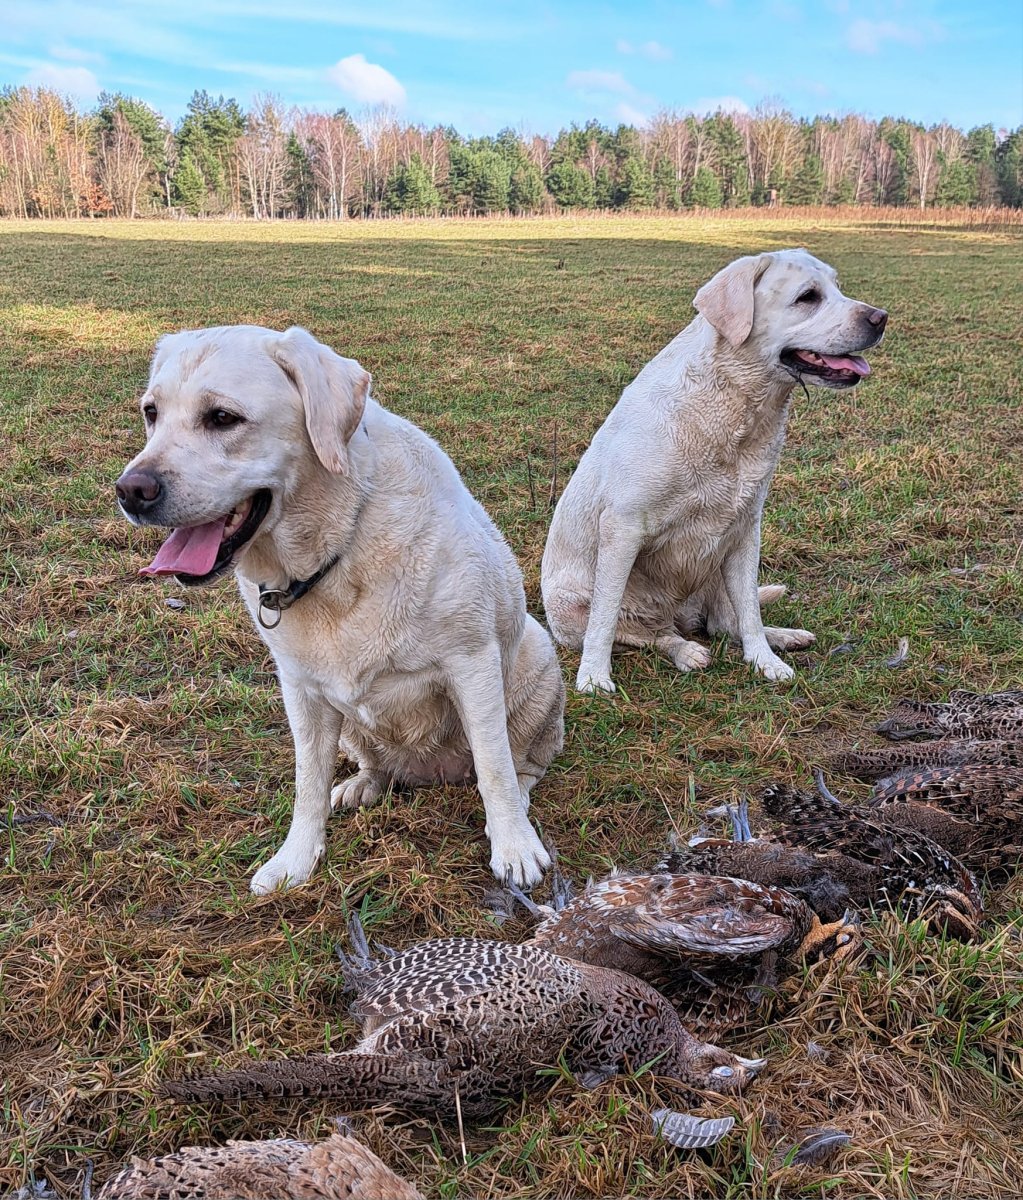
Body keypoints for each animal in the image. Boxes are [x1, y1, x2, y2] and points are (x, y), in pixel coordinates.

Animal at [116, 325, 564, 892]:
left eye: (221, 417)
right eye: (151, 412)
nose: (131, 491)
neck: (332, 552)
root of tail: (433, 774)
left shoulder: (473, 663)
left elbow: (495, 767)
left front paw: (514, 846)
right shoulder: (301, 689)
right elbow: (308, 782)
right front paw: (295, 859)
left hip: (536, 660)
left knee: (522, 764)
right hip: (352, 723)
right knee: (375, 765)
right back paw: (362, 785)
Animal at [541, 248, 887, 693]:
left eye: (837, 287)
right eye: (808, 297)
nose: (880, 318)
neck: (737, 409)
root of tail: (679, 615)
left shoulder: (745, 528)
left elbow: (750, 614)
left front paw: (765, 660)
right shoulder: (622, 528)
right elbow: (605, 618)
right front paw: (594, 676)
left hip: (715, 570)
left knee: (725, 623)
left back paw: (782, 637)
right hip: (570, 607)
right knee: (650, 633)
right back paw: (685, 650)